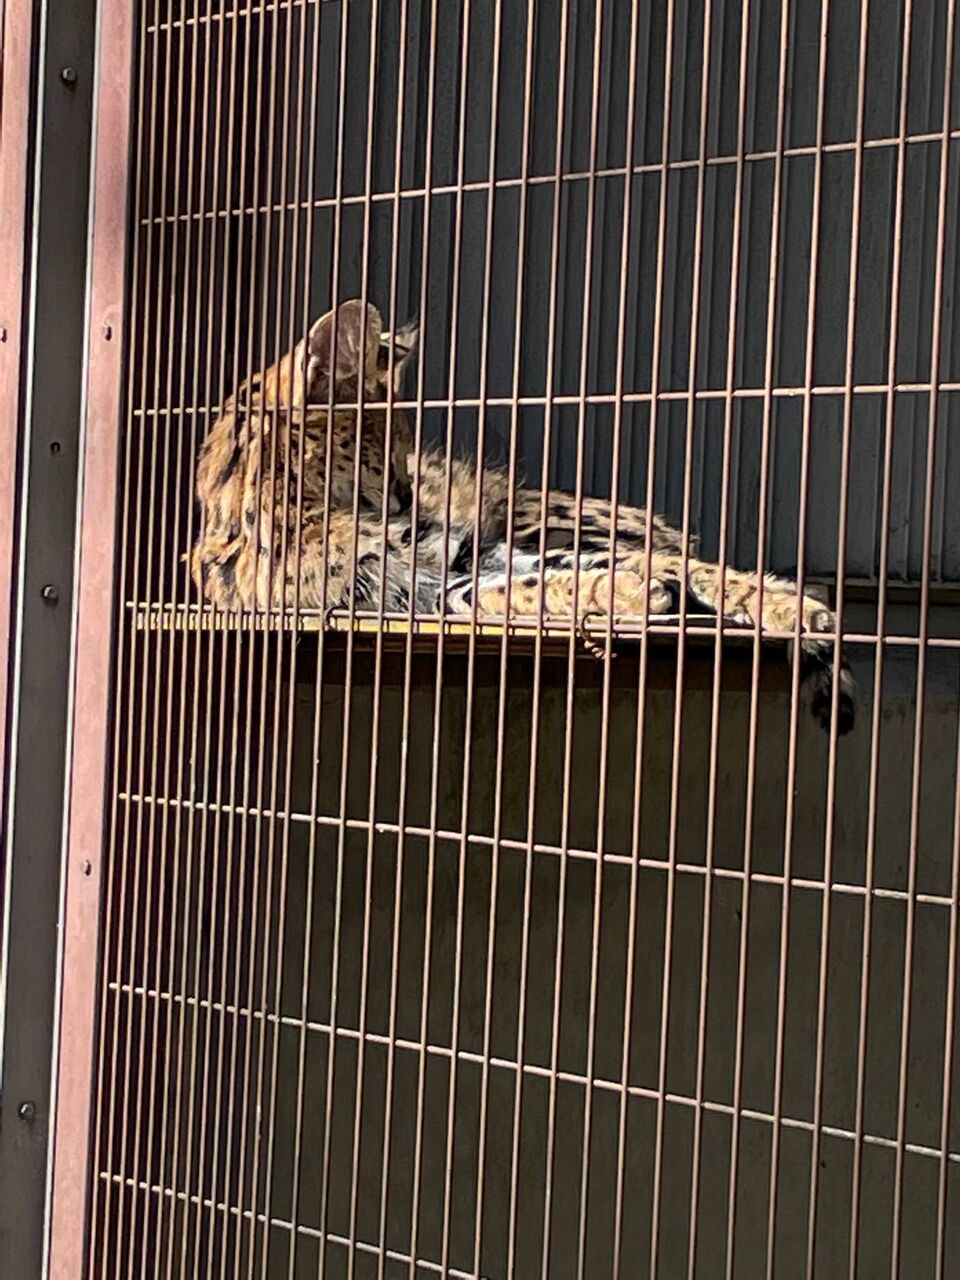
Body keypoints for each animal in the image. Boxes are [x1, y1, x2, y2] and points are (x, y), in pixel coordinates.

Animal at [190, 299, 856, 734]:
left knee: (675, 557)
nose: (409, 494)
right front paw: (627, 593)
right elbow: (516, 593)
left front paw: (634, 591)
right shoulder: (411, 590)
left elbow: (548, 580)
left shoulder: (464, 552)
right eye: (385, 446)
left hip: (537, 516)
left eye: (406, 444)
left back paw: (788, 604)